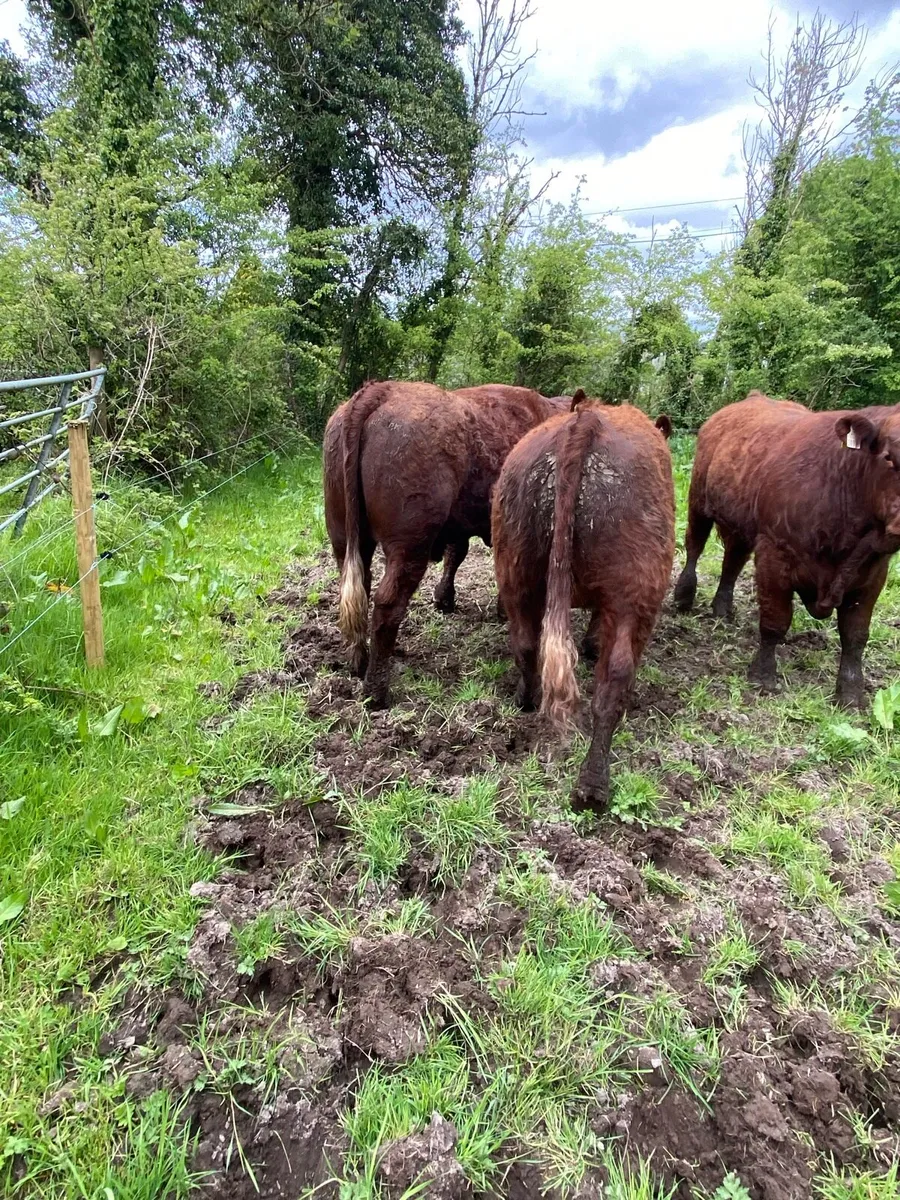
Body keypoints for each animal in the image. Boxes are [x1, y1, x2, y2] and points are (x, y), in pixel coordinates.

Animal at [323, 381, 570, 708]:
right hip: (409, 547)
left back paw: (359, 663)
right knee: (387, 604)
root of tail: (381, 390)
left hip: (345, 538)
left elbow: (457, 553)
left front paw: (444, 599)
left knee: (356, 590)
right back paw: (377, 691)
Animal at [492, 399, 674, 812]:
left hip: (516, 570)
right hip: (635, 594)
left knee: (526, 645)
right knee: (614, 680)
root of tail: (588, 421)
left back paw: (526, 701)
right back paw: (593, 787)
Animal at [672, 392, 900, 707]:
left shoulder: (873, 573)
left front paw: (851, 694)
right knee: (695, 546)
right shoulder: (774, 556)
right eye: (889, 456)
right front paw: (763, 676)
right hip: (698, 500)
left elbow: (855, 636)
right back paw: (683, 597)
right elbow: (775, 622)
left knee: (732, 562)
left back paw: (722, 609)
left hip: (740, 523)